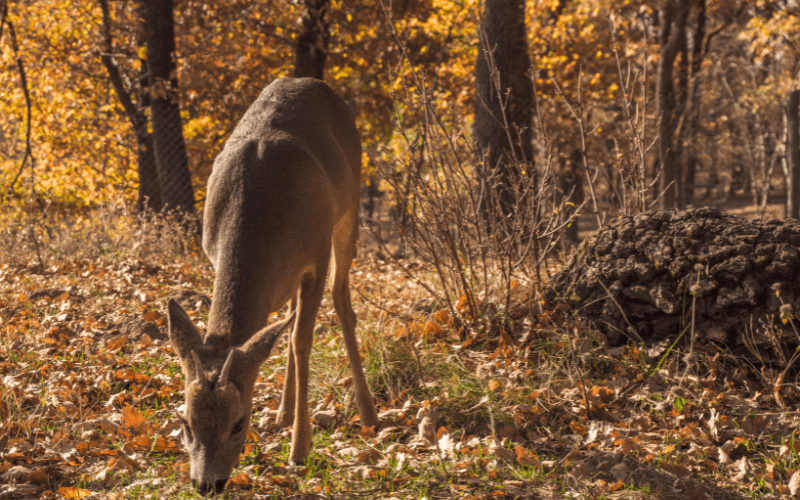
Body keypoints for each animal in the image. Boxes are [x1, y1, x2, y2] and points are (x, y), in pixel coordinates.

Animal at [166, 77, 380, 496]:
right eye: (185, 423)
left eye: (239, 423)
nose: (206, 484)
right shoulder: (215, 255)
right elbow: (281, 336)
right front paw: (289, 424)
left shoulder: (316, 256)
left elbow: (301, 341)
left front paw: (300, 449)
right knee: (288, 316)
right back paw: (282, 413)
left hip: (349, 211)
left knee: (342, 301)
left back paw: (367, 411)